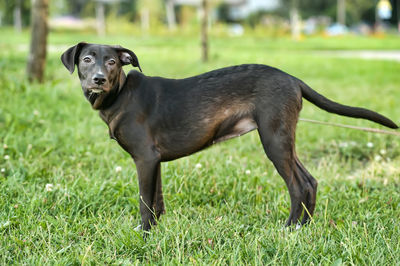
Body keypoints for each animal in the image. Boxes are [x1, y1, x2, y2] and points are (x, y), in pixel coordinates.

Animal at [61, 42, 398, 232]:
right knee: (310, 181)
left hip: (273, 139)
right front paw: (155, 232)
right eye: (87, 59)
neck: (120, 96)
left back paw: (290, 229)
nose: (98, 80)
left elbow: (145, 202)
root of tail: (293, 79)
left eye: (112, 61)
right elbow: (157, 201)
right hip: (283, 138)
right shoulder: (154, 161)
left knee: (298, 185)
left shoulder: (145, 158)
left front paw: (144, 236)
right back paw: (306, 228)